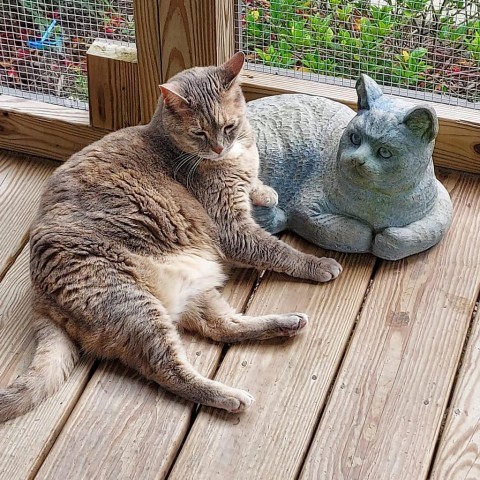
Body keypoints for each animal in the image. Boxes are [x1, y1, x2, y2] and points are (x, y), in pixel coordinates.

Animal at [0, 52, 342, 420]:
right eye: (199, 132)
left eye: (228, 127)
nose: (219, 148)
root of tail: (39, 296)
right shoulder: (232, 227)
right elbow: (277, 250)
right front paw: (319, 264)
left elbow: (257, 185)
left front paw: (265, 192)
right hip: (134, 305)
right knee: (169, 369)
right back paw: (231, 396)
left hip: (196, 291)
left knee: (224, 327)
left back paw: (287, 323)